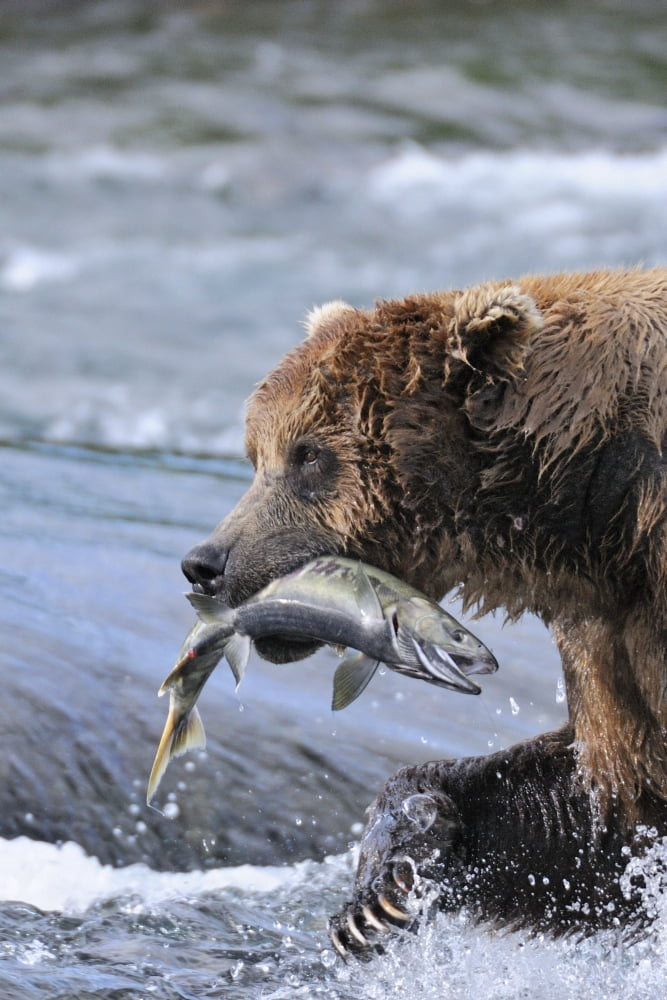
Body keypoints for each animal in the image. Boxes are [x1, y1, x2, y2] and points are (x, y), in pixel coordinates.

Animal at [182, 267, 667, 955]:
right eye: (256, 453)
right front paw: (380, 889)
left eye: (309, 454)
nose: (207, 563)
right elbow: (609, 804)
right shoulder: (607, 625)